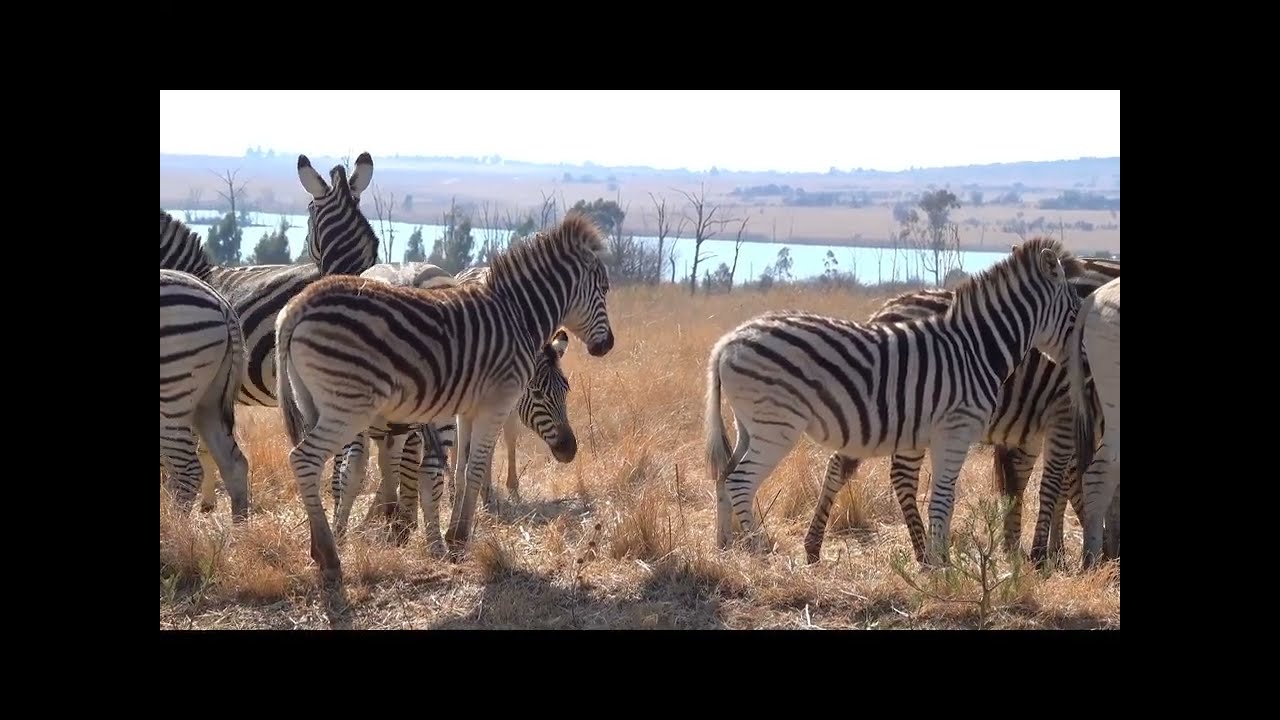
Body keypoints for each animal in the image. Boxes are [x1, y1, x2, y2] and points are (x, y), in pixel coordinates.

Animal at [159, 269, 250, 520]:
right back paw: (240, 529)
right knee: (234, 464)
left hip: (172, 396)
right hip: (208, 402)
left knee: (187, 472)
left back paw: (176, 529)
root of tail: (221, 302)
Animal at [275, 211, 614, 583]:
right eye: (604, 290)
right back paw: (329, 556)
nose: (569, 450)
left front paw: (451, 532)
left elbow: (462, 468)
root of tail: (297, 305)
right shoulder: (497, 403)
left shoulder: (466, 408)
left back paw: (322, 544)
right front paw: (460, 539)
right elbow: (476, 468)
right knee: (305, 459)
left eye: (565, 389)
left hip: (312, 403)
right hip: (348, 408)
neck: (517, 316)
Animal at [704, 236, 1083, 567]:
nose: (1080, 363)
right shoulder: (955, 431)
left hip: (750, 424)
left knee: (725, 474)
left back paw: (725, 547)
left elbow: (945, 499)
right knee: (740, 482)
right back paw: (760, 552)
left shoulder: (938, 434)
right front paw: (941, 567)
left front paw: (939, 560)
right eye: (1076, 312)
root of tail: (727, 341)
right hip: (776, 427)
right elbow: (943, 500)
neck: (976, 349)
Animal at [801, 257, 1120, 568]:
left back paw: (817, 546)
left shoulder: (1041, 423)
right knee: (899, 476)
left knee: (842, 466)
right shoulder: (1062, 412)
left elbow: (1044, 482)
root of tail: (885, 309)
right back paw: (922, 554)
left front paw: (1043, 550)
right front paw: (1045, 554)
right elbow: (1056, 484)